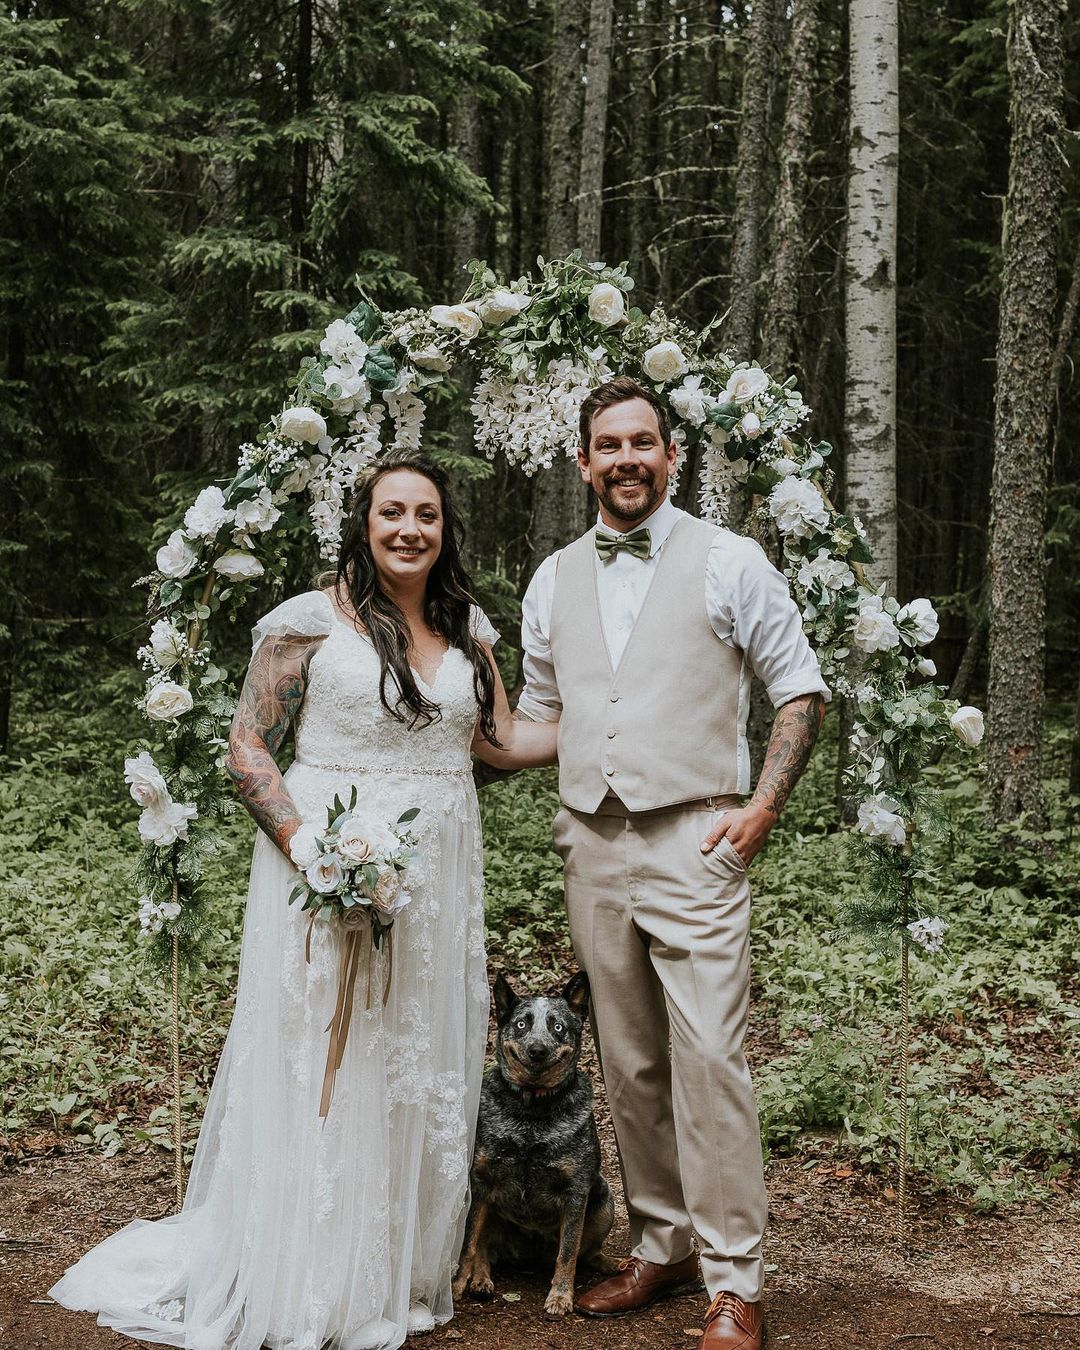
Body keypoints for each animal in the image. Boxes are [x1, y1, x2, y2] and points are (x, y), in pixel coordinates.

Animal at [450, 972, 615, 1317]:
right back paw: (481, 1280)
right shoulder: (481, 1183)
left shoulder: (576, 1191)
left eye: (558, 1027)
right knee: (484, 1247)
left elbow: (568, 1253)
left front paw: (560, 1296)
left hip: (604, 1200)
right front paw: (458, 1285)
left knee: (587, 1252)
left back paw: (611, 1263)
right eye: (522, 1024)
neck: (531, 1114)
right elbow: (470, 1243)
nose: (537, 1049)